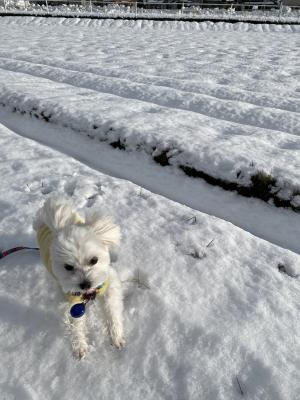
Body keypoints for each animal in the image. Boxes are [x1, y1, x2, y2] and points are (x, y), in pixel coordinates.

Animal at [33, 197, 125, 360]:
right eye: (68, 267)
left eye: (94, 260)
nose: (85, 284)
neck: (89, 293)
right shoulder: (70, 302)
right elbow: (74, 325)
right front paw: (80, 347)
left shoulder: (109, 285)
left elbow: (112, 310)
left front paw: (116, 336)